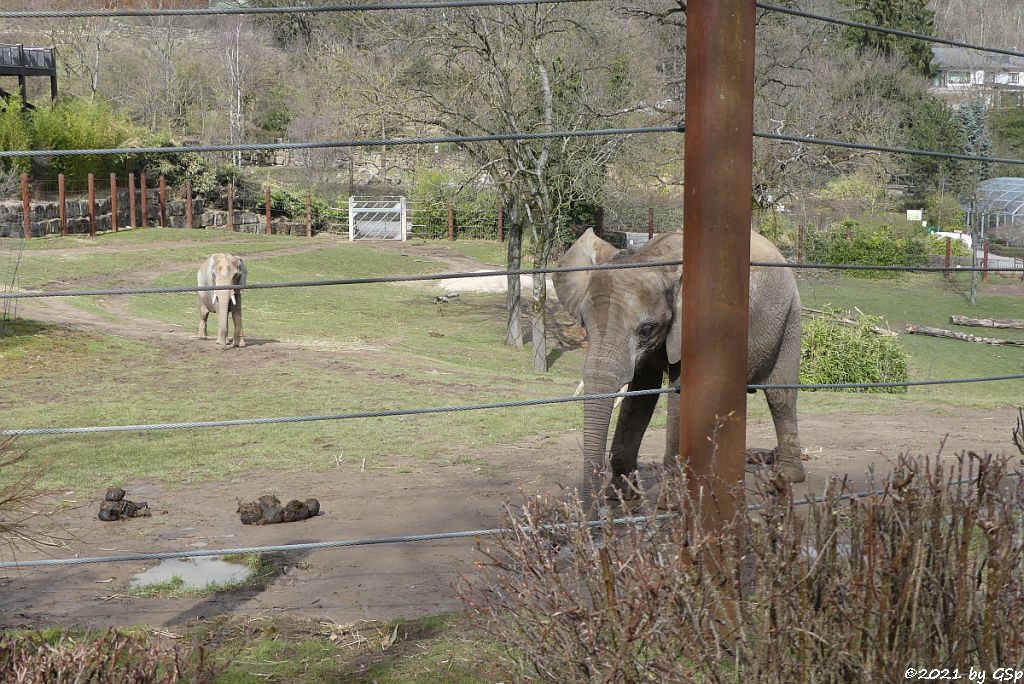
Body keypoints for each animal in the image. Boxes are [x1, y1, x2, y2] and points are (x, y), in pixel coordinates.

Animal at [552, 229, 798, 511]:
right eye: (584, 325)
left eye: (646, 329)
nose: (596, 512)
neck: (652, 258)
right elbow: (641, 395)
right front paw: (622, 496)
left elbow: (678, 397)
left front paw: (670, 505)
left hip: (790, 317)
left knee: (780, 396)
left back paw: (785, 478)